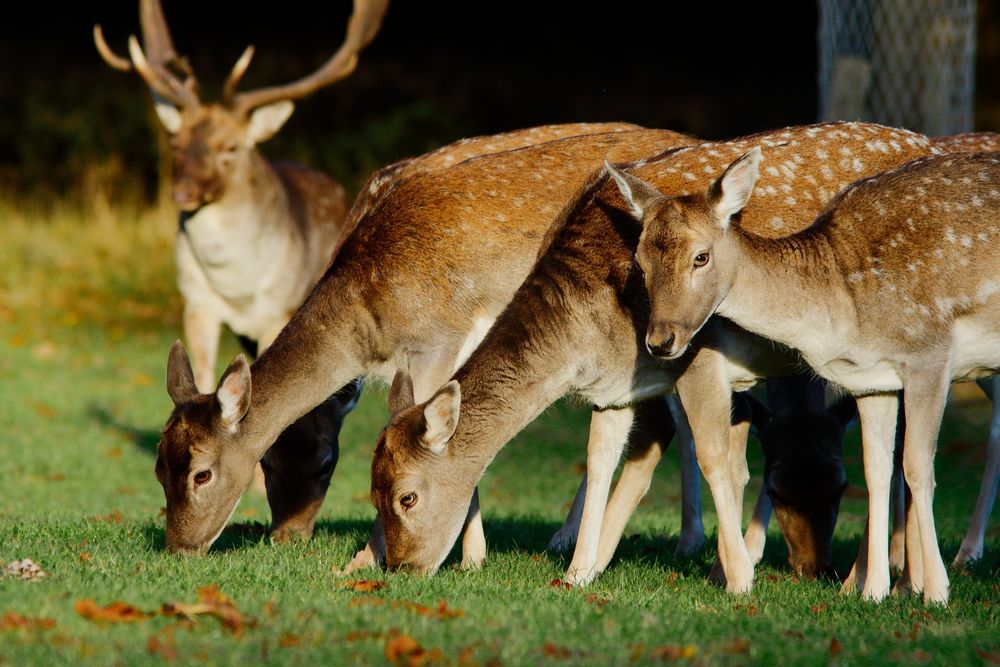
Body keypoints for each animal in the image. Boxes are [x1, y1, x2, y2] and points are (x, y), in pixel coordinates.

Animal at [158, 126, 704, 564]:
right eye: (160, 469)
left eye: (202, 474)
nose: (180, 547)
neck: (372, 322)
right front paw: (463, 554)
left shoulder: (438, 339)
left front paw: (417, 556)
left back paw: (683, 542)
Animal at [370, 122, 936, 588]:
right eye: (371, 494)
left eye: (406, 496)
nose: (401, 568)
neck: (593, 338)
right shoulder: (614, 389)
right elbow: (600, 462)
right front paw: (578, 572)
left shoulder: (698, 356)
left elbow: (718, 461)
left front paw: (738, 578)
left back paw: (886, 581)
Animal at [628, 149, 1000, 608]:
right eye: (640, 261)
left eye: (701, 256)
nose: (660, 341)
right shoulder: (873, 377)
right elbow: (877, 470)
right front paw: (872, 591)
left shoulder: (928, 352)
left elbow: (917, 468)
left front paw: (935, 592)